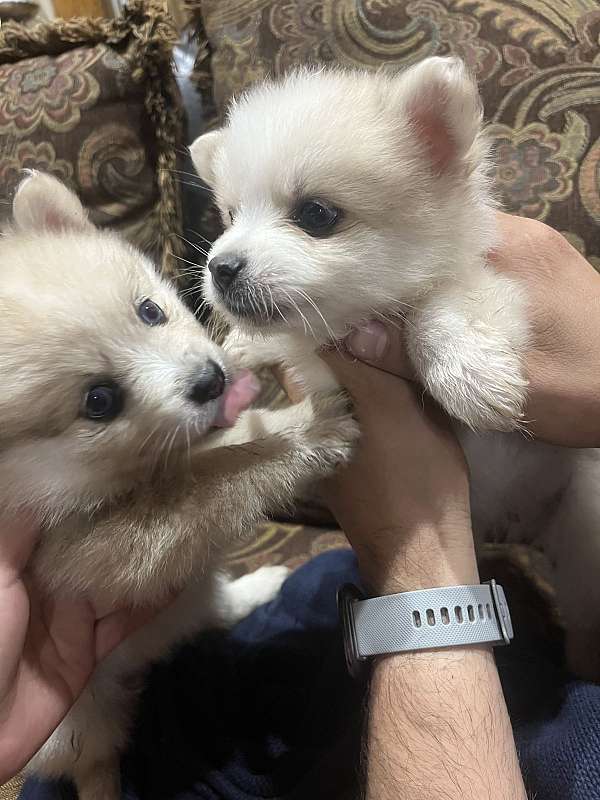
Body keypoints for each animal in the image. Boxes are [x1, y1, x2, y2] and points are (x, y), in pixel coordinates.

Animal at [0, 173, 356, 800]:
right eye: (100, 400)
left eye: (150, 311)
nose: (211, 380)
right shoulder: (93, 553)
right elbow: (222, 478)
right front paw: (311, 434)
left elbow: (227, 448)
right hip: (82, 730)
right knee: (96, 768)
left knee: (208, 609)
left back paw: (255, 587)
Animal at [192, 56, 600, 680]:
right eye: (230, 216)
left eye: (316, 214)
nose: (221, 266)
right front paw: (240, 348)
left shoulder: (499, 290)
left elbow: (440, 306)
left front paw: (470, 373)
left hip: (584, 515)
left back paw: (583, 655)